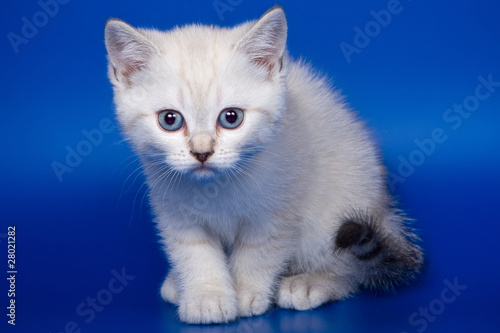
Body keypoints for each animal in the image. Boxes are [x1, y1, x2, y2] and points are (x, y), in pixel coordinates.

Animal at [104, 5, 422, 324]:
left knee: (351, 267)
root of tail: (384, 211)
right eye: (169, 120)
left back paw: (312, 283)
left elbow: (258, 254)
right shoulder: (176, 212)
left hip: (340, 207)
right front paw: (207, 296)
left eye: (231, 118)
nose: (202, 152)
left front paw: (245, 294)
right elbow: (194, 253)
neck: (215, 189)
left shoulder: (278, 210)